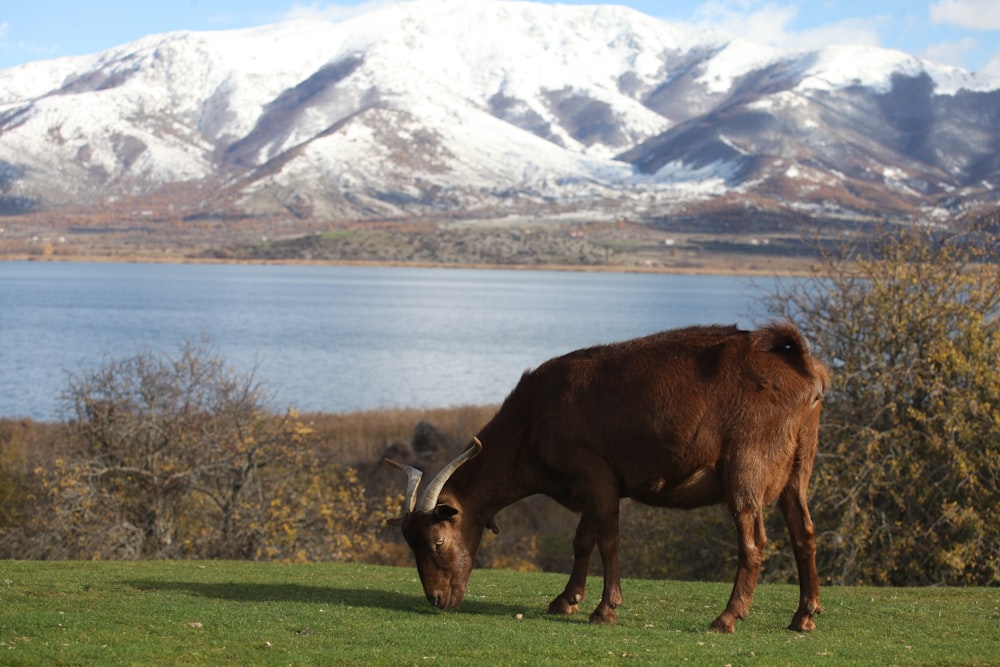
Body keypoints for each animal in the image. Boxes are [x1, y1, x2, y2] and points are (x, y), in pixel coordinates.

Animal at [386, 324, 824, 632]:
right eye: (410, 543)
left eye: (437, 541)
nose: (437, 599)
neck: (533, 420)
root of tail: (803, 369)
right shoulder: (587, 486)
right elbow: (583, 541)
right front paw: (566, 601)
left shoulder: (597, 474)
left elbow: (608, 540)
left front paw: (605, 609)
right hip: (799, 466)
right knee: (803, 531)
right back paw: (803, 617)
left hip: (747, 468)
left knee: (753, 542)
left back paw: (727, 618)